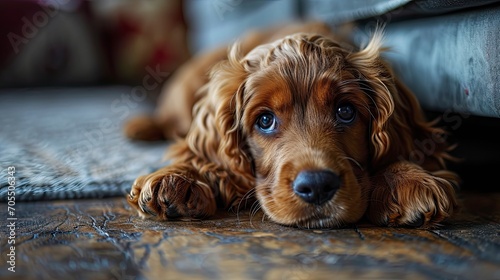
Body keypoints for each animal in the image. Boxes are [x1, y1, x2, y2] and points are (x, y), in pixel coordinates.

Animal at [124, 21, 458, 228]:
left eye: (345, 111)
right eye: (265, 120)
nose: (317, 186)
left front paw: (405, 178)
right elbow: (196, 153)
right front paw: (179, 177)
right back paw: (141, 126)